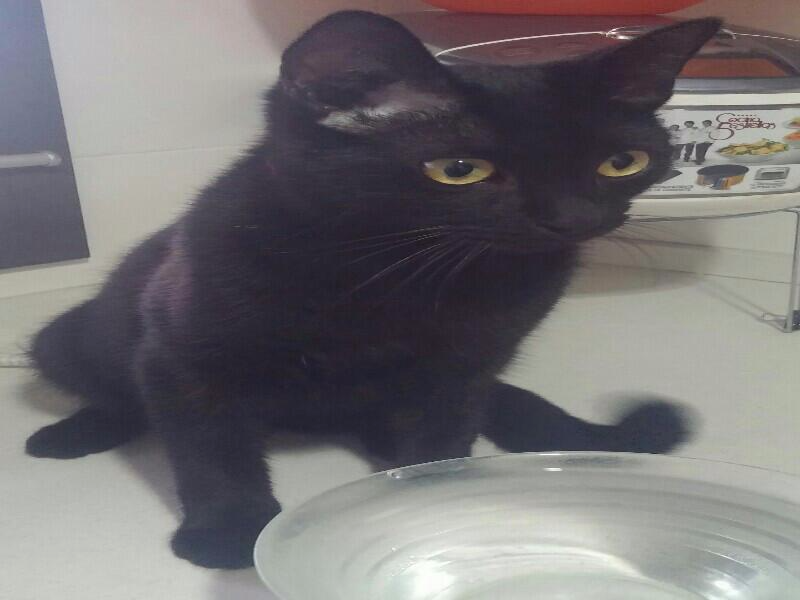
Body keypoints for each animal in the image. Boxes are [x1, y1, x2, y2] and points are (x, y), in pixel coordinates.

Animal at [24, 11, 720, 569]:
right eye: (459, 170)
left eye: (621, 162)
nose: (573, 219)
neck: (393, 278)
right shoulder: (183, 354)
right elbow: (210, 448)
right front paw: (227, 532)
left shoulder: (471, 363)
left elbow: (444, 429)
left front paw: (432, 497)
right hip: (68, 341)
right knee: (118, 391)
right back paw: (71, 435)